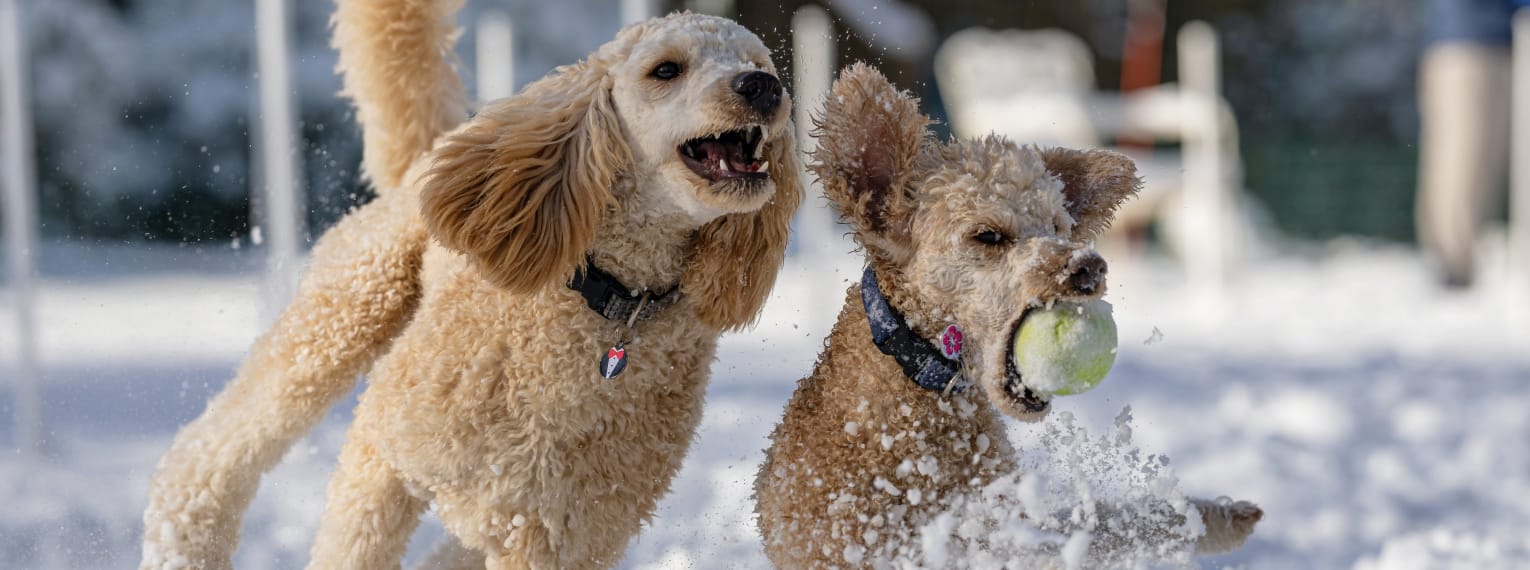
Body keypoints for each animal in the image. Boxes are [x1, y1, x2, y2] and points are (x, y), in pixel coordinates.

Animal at [142, 2, 801, 565]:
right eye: (666, 69)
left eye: (762, 65)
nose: (762, 88)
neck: (612, 305)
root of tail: (435, 152)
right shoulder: (383, 451)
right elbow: (354, 546)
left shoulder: (561, 536)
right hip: (345, 313)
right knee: (202, 460)